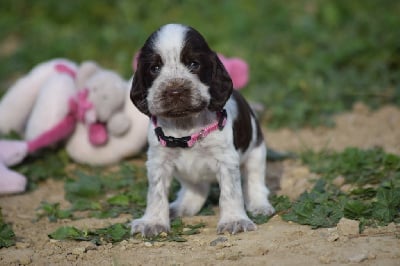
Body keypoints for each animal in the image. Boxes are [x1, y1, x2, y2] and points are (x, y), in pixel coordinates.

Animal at [130, 23, 274, 237]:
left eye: (194, 64)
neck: (185, 126)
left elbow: (231, 192)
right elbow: (156, 193)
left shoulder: (226, 160)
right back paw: (181, 206)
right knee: (196, 190)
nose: (175, 91)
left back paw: (259, 205)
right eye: (154, 68)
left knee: (255, 180)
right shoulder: (158, 161)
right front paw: (153, 222)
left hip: (257, 152)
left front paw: (234, 220)